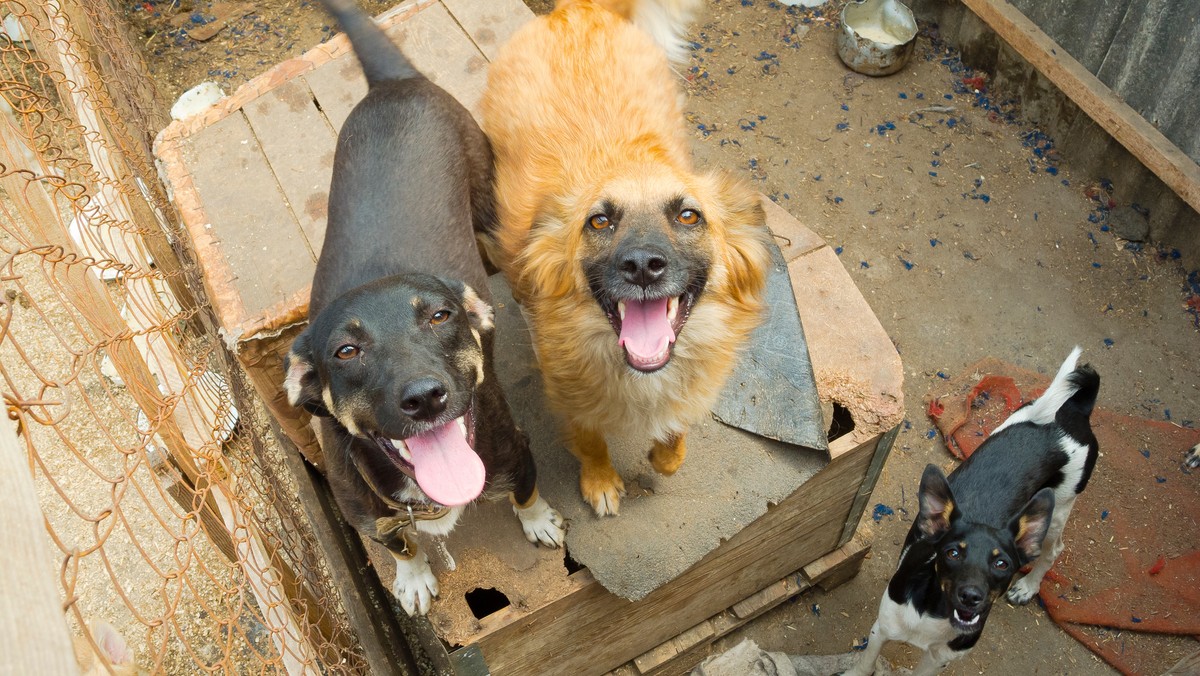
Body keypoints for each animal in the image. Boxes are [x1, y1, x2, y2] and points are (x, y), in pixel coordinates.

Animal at [283, 0, 564, 614]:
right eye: (345, 351)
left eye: (441, 316)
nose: (424, 398)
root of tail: (394, 82)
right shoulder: (369, 516)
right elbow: (403, 545)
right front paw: (411, 576)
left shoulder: (515, 451)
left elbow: (527, 491)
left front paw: (539, 521)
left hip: (489, 205)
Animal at [482, 0, 772, 516]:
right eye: (599, 221)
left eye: (688, 215)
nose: (641, 266)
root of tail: (579, 10)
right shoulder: (569, 397)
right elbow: (590, 439)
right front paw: (600, 480)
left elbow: (674, 442)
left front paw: (663, 453)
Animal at [844, 348, 1099, 676]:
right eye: (952, 553)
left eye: (1002, 563)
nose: (971, 597)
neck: (934, 613)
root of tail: (1074, 410)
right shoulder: (882, 629)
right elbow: (864, 665)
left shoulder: (938, 659)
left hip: (1058, 511)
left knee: (1052, 551)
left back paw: (1027, 587)